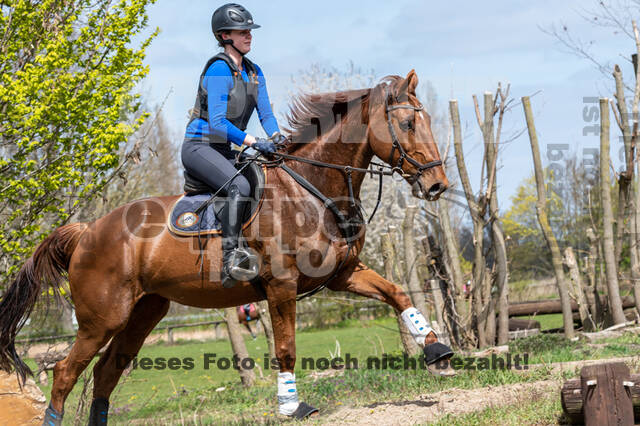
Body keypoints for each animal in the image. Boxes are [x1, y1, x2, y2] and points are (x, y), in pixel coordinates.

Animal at [0, 70, 450, 422]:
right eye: (407, 124)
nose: (437, 184)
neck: (310, 190)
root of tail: (87, 230)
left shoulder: (342, 274)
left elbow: (397, 292)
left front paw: (436, 348)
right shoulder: (282, 286)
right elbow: (286, 348)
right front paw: (291, 406)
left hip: (144, 312)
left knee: (106, 372)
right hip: (101, 319)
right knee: (65, 373)